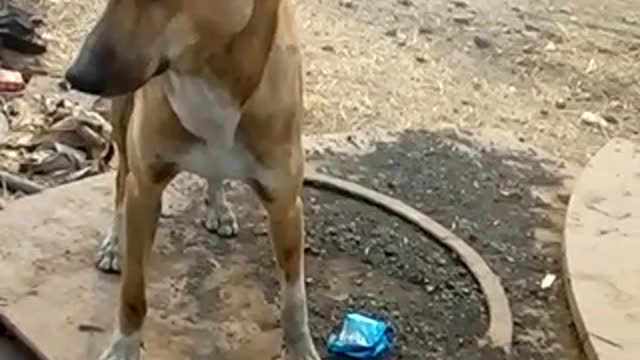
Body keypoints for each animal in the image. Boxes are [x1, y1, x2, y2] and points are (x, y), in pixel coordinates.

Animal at [65, 0, 320, 360]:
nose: (77, 76)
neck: (207, 78)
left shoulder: (285, 206)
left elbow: (294, 301)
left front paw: (300, 349)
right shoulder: (145, 189)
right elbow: (132, 292)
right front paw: (123, 347)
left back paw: (219, 207)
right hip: (124, 124)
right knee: (119, 185)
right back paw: (114, 245)